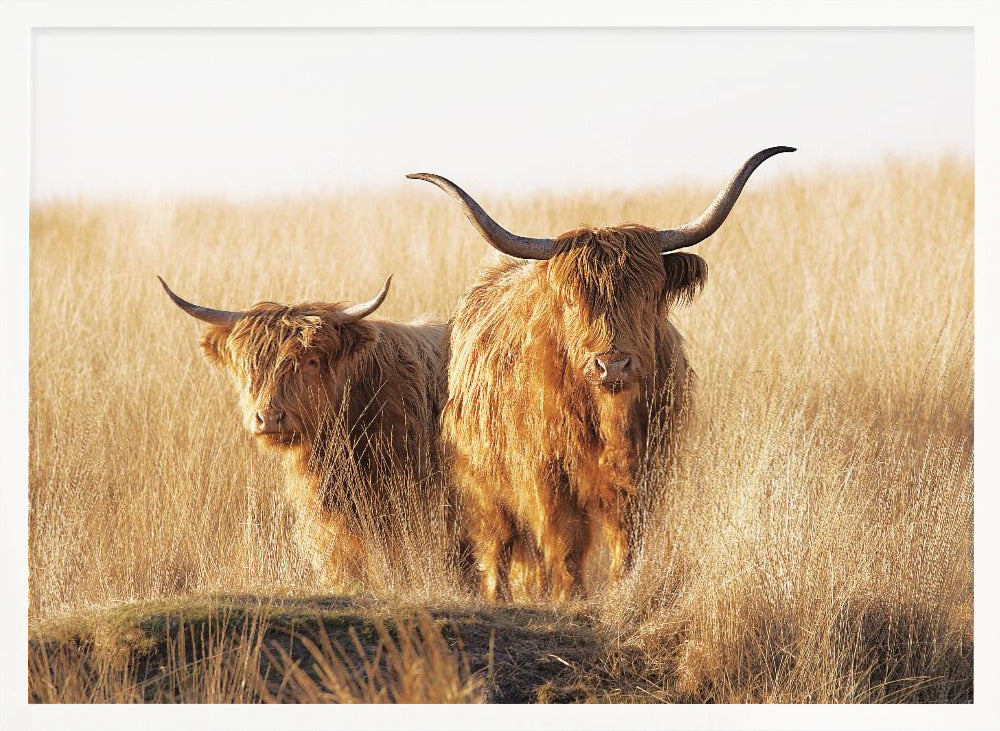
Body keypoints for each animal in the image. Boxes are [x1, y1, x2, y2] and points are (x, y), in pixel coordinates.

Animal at [408, 146, 794, 600]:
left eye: (646, 296)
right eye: (573, 302)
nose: (613, 364)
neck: (608, 419)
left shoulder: (644, 473)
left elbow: (626, 537)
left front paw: (618, 589)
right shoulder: (546, 476)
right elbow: (563, 540)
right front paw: (569, 595)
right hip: (483, 483)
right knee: (497, 545)